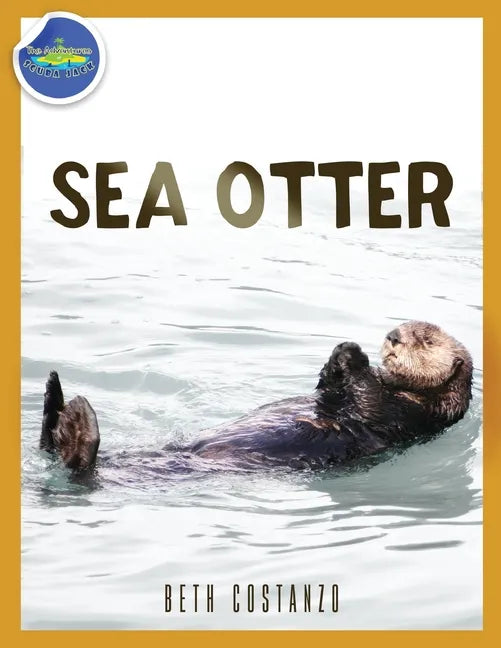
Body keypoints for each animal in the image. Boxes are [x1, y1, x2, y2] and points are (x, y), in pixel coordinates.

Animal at [39, 321, 473, 476]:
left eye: (426, 340)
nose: (393, 336)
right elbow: (328, 392)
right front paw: (339, 356)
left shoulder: (412, 416)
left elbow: (370, 403)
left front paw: (353, 356)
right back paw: (55, 399)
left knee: (80, 467)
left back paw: (74, 423)